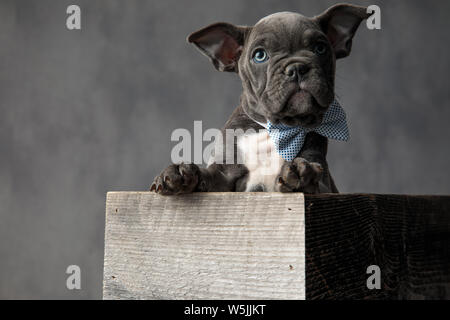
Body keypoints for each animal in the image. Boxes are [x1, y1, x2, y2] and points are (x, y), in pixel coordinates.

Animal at [149, 3, 370, 195]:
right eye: (260, 55)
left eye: (320, 48)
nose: (297, 68)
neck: (277, 129)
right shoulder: (223, 176)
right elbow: (207, 176)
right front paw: (179, 172)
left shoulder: (324, 181)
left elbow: (316, 181)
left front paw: (303, 173)